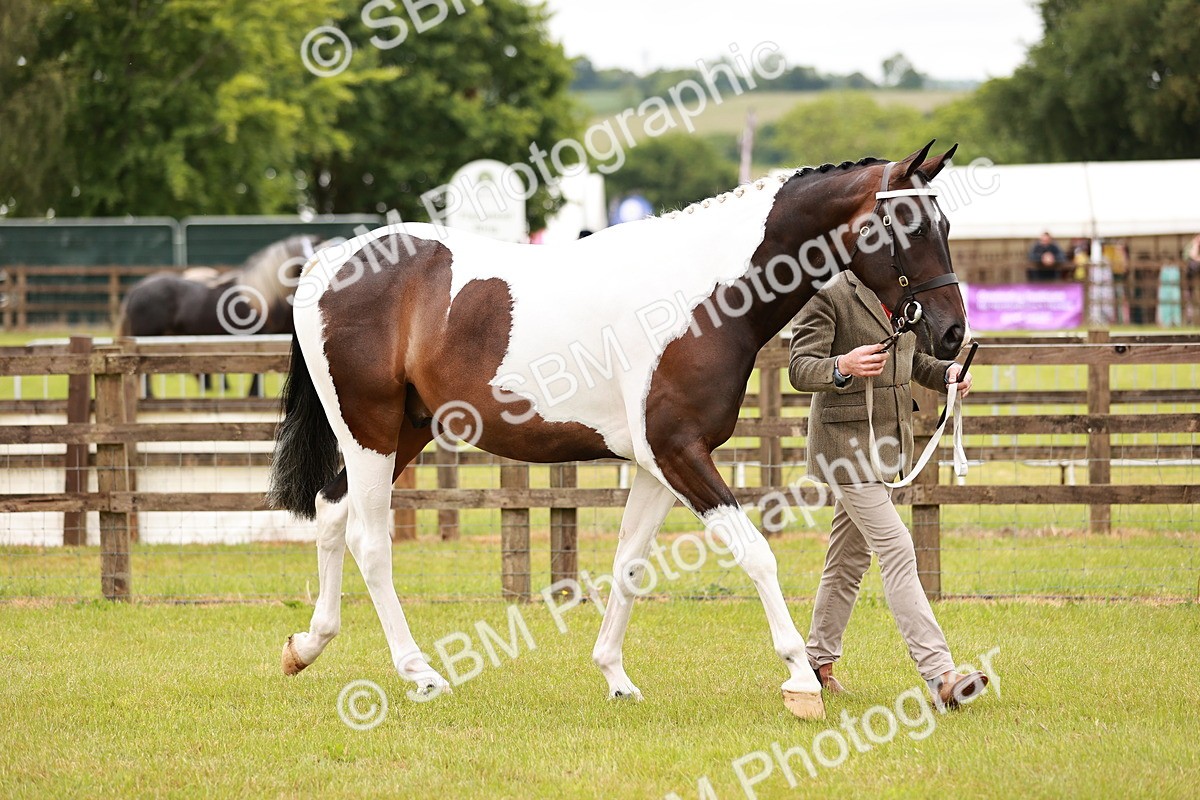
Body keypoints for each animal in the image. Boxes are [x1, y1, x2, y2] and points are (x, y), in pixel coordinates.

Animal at [268, 142, 967, 720]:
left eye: (945, 225)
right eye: (908, 226)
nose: (953, 333)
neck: (701, 296)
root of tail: (328, 264)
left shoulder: (660, 465)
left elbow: (629, 563)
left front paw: (615, 677)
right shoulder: (679, 453)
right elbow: (756, 555)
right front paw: (800, 680)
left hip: (404, 430)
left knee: (331, 511)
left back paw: (307, 646)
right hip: (371, 430)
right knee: (368, 539)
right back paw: (420, 673)